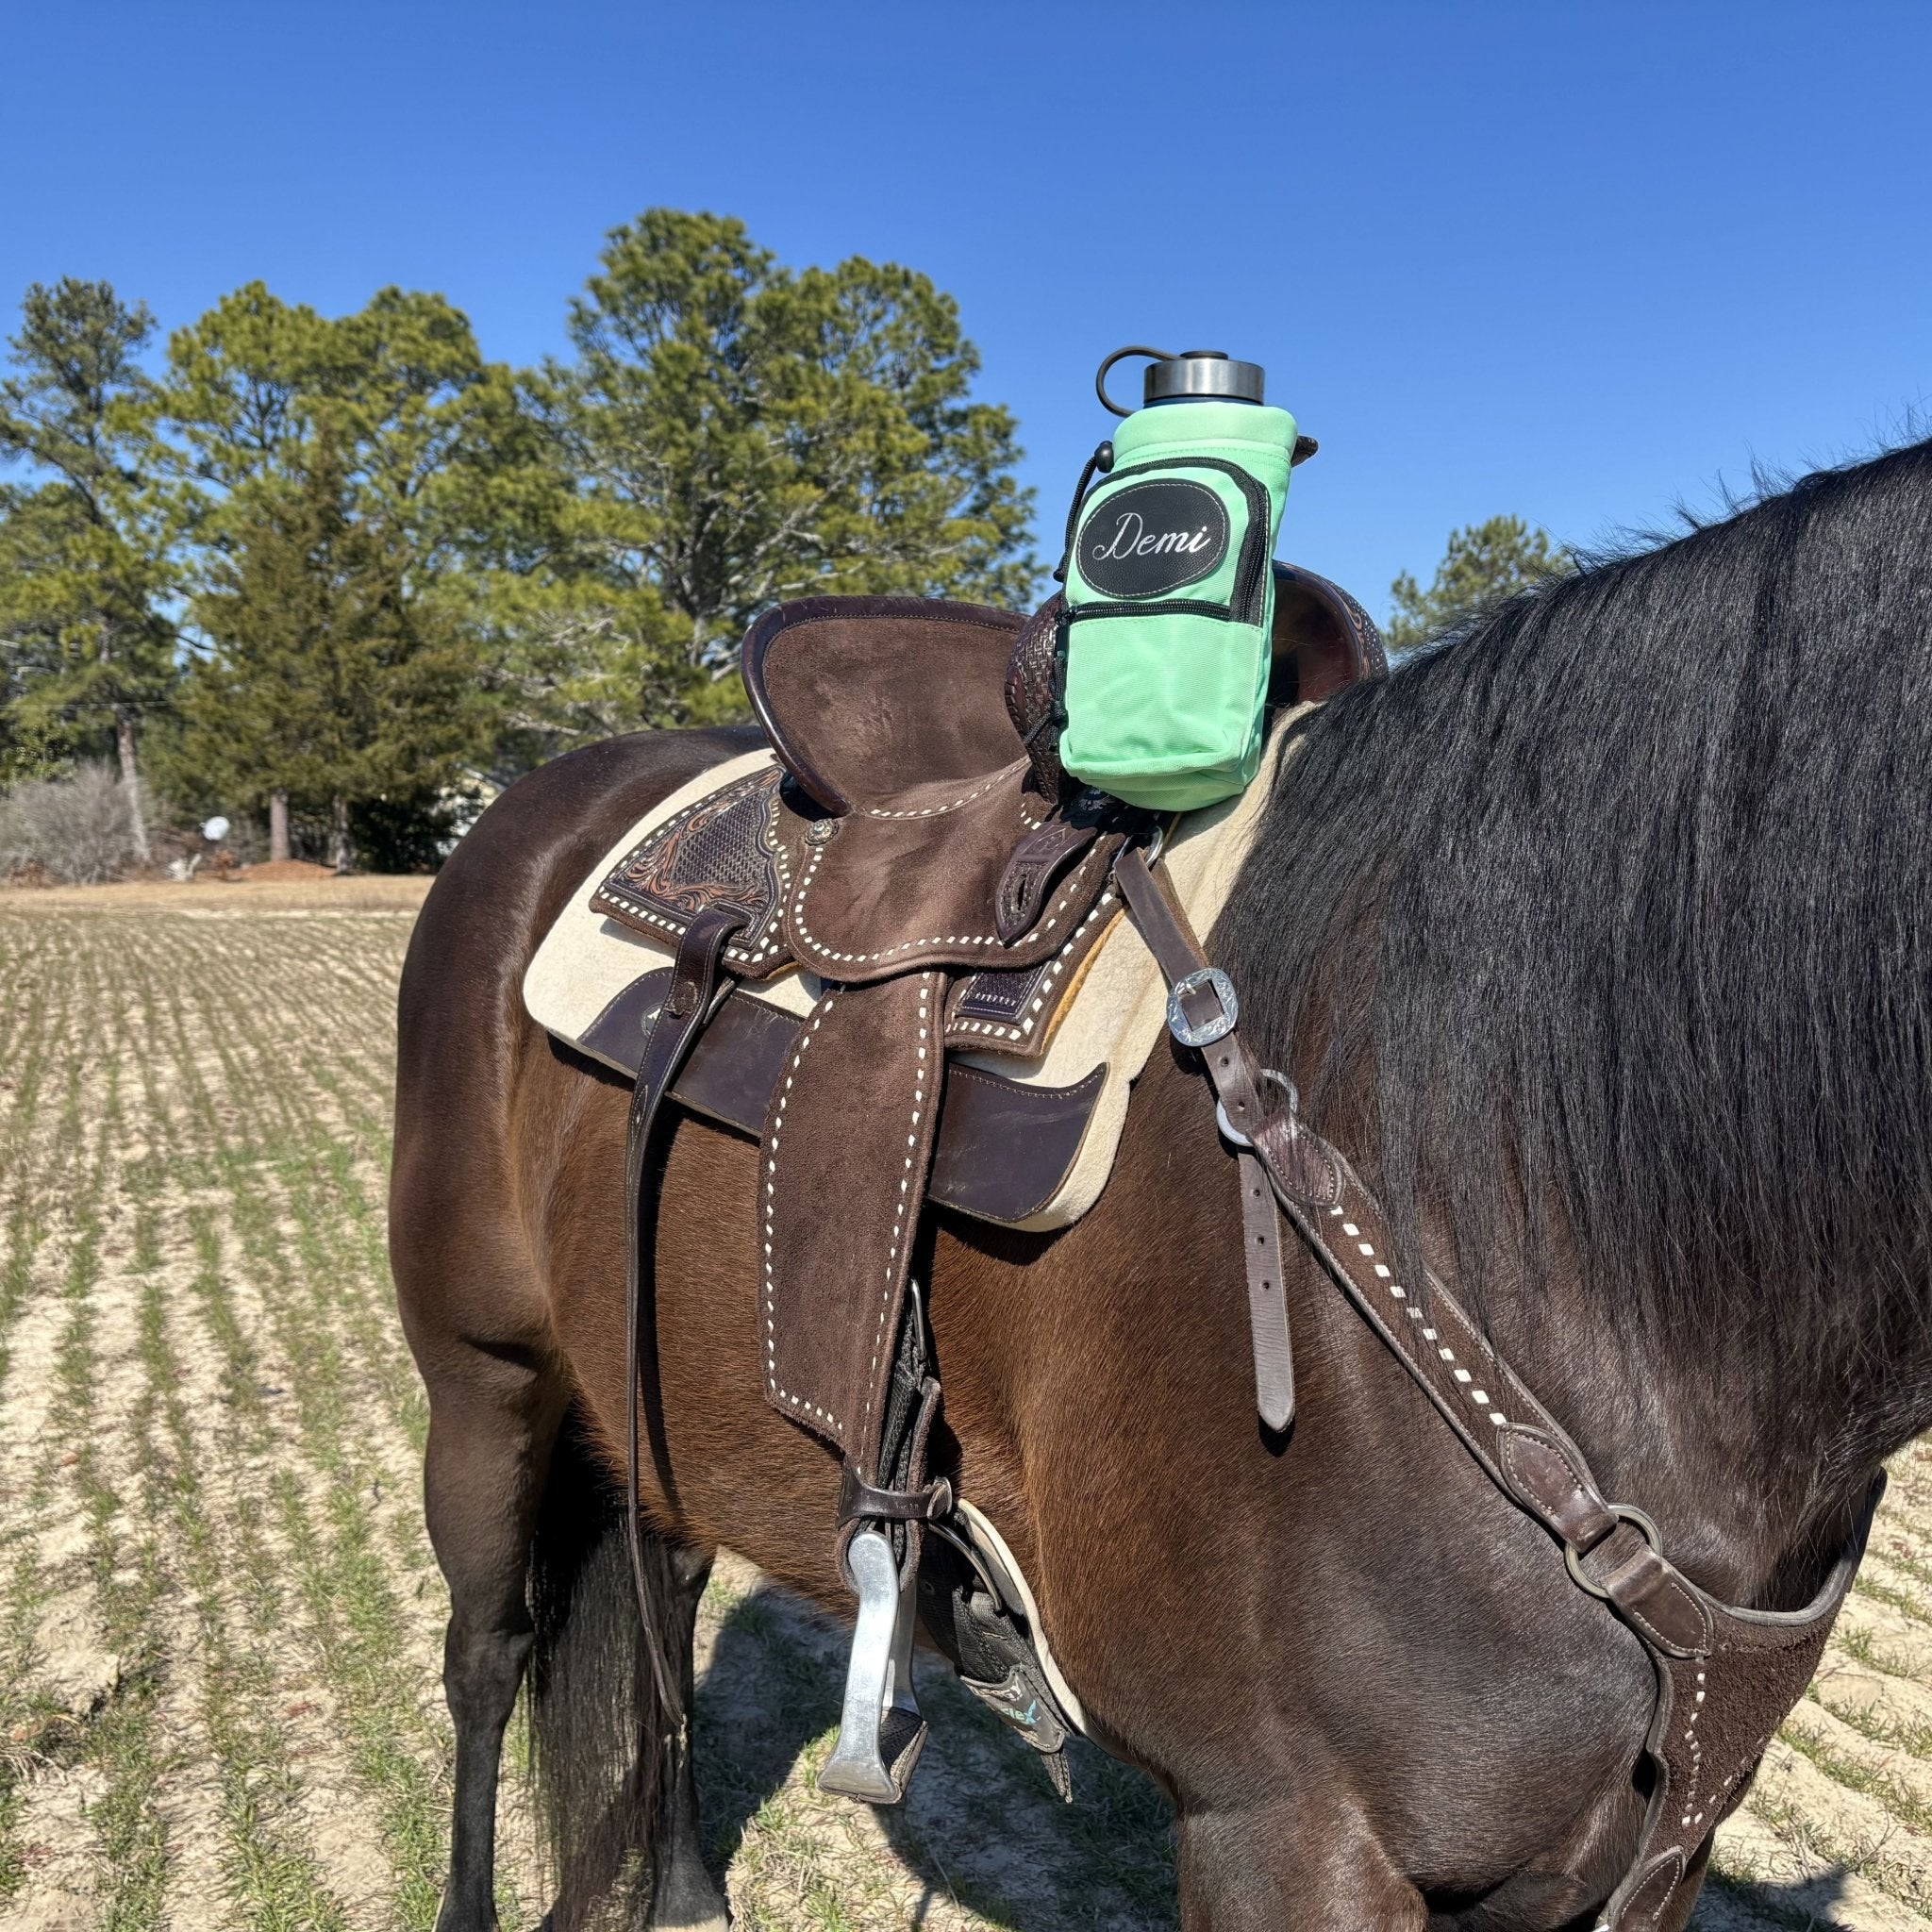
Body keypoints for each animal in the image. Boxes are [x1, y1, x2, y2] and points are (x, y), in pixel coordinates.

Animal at [391, 435, 1932, 1930]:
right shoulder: (1286, 1836)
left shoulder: (1637, 1850)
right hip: (484, 1377)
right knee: (486, 1651)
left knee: (663, 1588)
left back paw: (688, 1889)